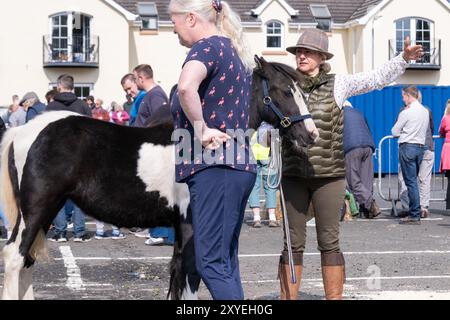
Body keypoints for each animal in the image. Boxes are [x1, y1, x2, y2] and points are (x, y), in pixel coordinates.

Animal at [0, 55, 318, 300]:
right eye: (285, 91)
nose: (310, 134)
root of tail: (23, 130)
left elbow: (179, 273)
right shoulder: (191, 223)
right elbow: (190, 275)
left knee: (26, 261)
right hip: (37, 209)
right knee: (15, 257)